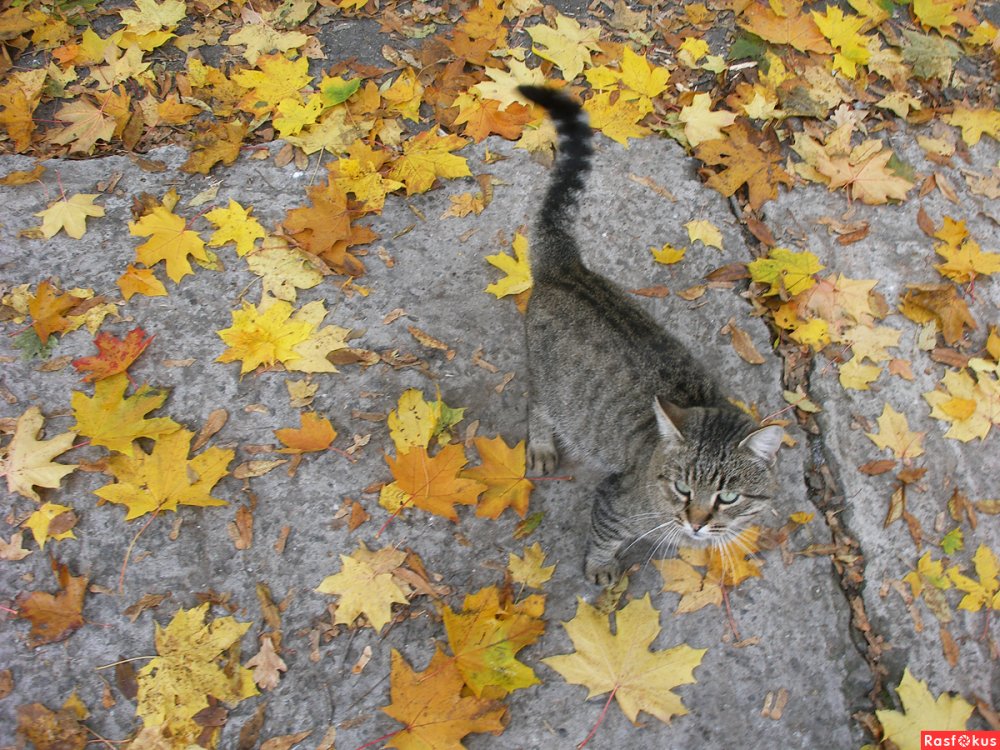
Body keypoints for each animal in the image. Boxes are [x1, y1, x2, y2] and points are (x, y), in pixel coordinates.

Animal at [520, 83, 784, 588]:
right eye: (682, 488)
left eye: (728, 497)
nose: (696, 522)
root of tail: (569, 267)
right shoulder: (614, 500)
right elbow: (604, 538)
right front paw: (602, 568)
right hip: (548, 384)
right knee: (538, 408)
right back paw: (542, 444)